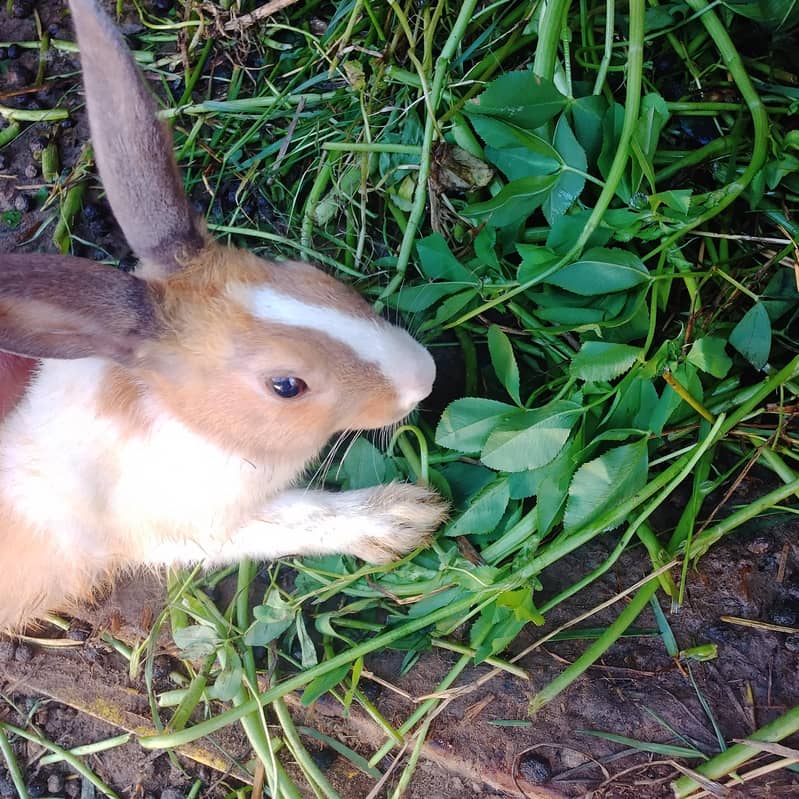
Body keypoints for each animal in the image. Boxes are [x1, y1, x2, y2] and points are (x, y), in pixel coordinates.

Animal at [0, 0, 447, 632]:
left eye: (308, 275)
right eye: (286, 385)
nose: (422, 377)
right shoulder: (187, 529)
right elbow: (297, 517)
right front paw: (403, 518)